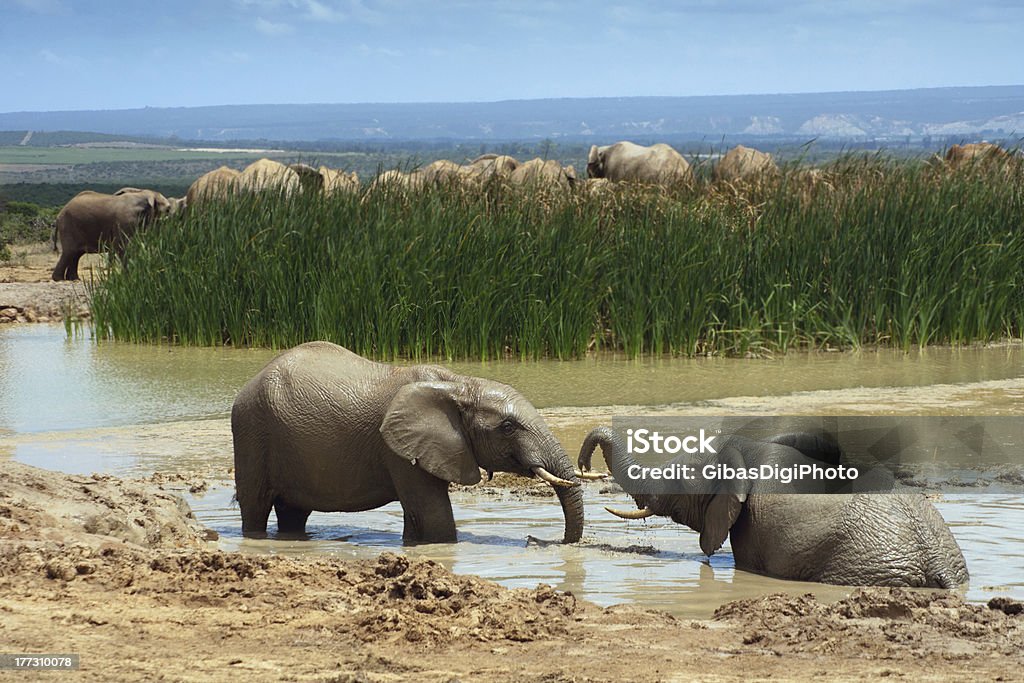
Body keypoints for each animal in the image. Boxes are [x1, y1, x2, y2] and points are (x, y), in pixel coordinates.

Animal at [232, 342, 585, 544]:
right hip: (251, 431)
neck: (459, 383)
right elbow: (433, 515)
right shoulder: (398, 448)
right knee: (255, 507)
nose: (536, 540)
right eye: (508, 427)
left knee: (293, 513)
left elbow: (417, 516)